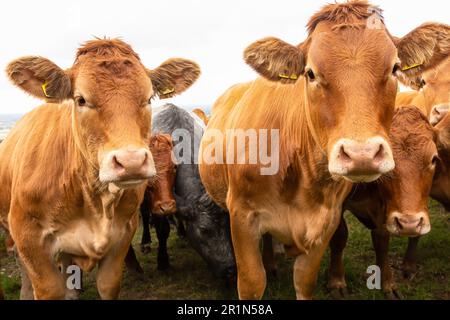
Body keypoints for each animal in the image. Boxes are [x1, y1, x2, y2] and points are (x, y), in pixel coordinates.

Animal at [0, 38, 200, 298]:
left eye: (148, 99)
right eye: (81, 99)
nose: (131, 161)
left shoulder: (121, 238)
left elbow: (107, 284)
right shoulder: (29, 239)